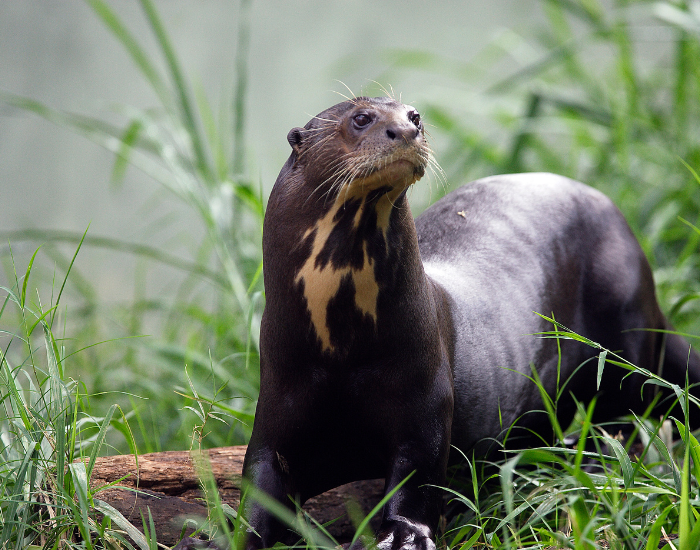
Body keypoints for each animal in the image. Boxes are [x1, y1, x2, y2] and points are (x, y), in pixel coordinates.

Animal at [238, 97, 699, 550]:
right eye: (362, 118)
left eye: (414, 114)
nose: (406, 129)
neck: (339, 350)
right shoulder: (279, 395)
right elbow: (258, 482)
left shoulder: (425, 396)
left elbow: (418, 476)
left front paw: (402, 537)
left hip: (623, 314)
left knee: (629, 413)